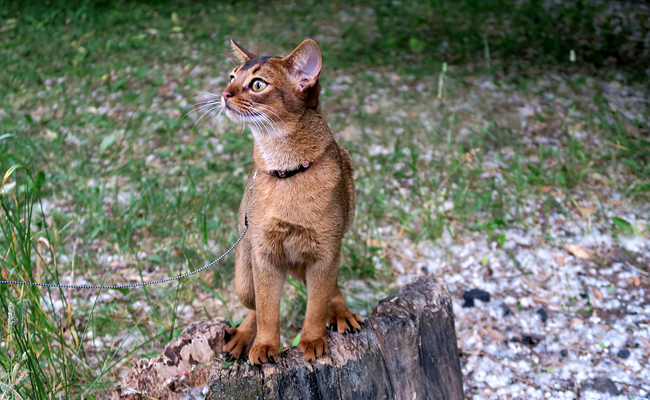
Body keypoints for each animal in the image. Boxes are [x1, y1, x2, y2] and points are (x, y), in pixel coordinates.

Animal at [218, 39, 360, 364]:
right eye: (232, 77)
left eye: (257, 84)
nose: (224, 94)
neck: (286, 172)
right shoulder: (264, 255)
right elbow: (268, 309)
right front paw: (265, 346)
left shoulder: (325, 253)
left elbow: (317, 305)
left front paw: (312, 340)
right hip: (243, 276)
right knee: (254, 307)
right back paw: (242, 338)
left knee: (332, 290)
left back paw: (342, 313)